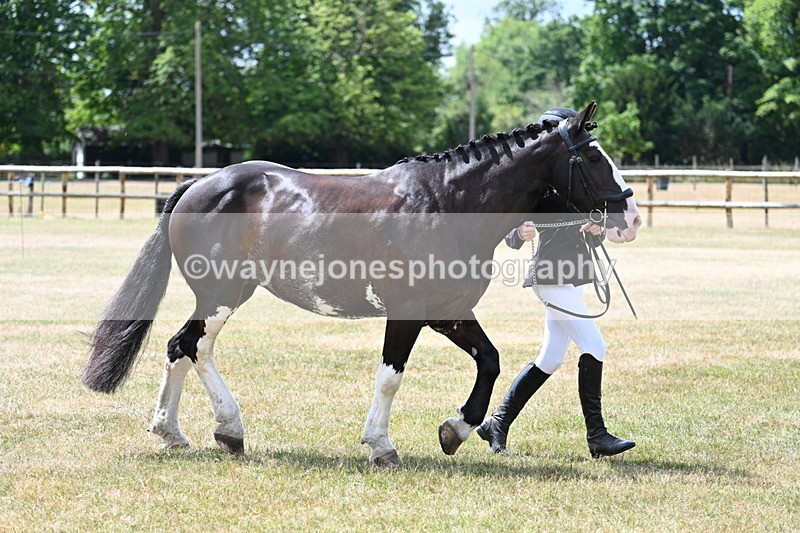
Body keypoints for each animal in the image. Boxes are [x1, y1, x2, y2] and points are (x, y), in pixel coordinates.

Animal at [82, 102, 641, 466]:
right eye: (594, 157)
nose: (631, 216)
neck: (447, 202)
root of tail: (200, 184)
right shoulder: (408, 313)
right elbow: (391, 376)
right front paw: (382, 445)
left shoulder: (448, 312)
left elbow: (490, 361)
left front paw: (456, 430)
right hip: (220, 295)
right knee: (193, 346)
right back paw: (228, 428)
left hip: (226, 295)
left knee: (181, 347)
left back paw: (175, 433)